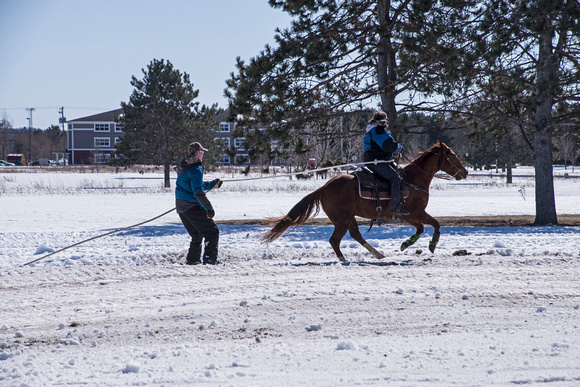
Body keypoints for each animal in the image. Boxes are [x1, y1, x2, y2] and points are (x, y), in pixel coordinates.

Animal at [260, 141, 468, 262]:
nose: (465, 172)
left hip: (348, 218)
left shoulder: (409, 216)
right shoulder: (416, 213)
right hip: (342, 220)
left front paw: (405, 244)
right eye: (453, 155)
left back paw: (377, 254)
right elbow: (434, 224)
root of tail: (324, 187)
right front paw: (431, 245)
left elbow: (422, 228)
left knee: (355, 236)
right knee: (335, 240)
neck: (413, 180)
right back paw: (344, 259)